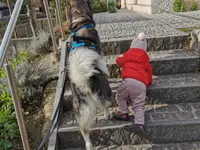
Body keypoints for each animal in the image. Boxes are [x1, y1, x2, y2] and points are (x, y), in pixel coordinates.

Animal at [66, 0, 111, 149]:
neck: (80, 21)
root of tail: (84, 82)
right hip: (104, 91)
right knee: (105, 104)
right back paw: (108, 115)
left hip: (80, 108)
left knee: (84, 129)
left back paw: (89, 145)